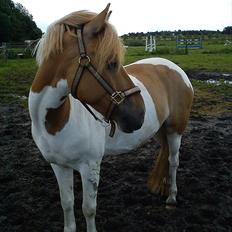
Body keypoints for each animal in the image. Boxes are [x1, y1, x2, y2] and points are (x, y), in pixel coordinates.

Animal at [29, 3, 194, 232]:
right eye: (112, 63)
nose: (140, 114)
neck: (56, 122)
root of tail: (175, 68)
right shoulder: (59, 166)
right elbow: (67, 203)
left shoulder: (90, 166)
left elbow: (88, 209)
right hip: (160, 130)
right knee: (165, 152)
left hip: (175, 130)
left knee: (173, 161)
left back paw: (171, 197)